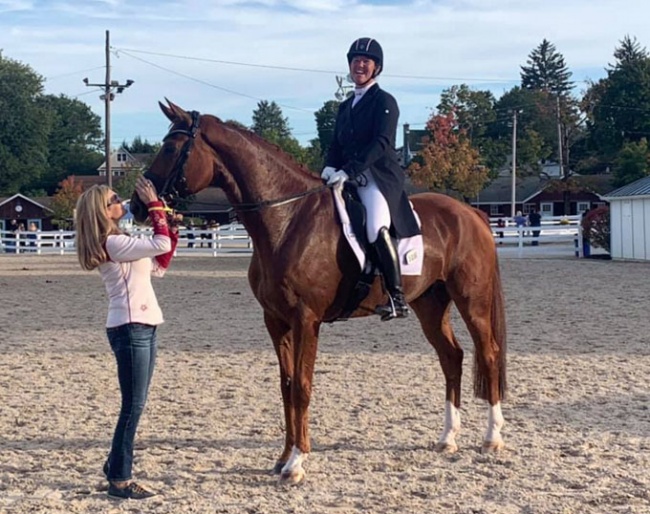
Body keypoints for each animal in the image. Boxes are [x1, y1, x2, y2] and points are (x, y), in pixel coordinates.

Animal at [130, 100, 506, 484]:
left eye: (171, 148)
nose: (137, 205)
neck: (287, 218)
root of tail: (471, 213)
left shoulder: (305, 320)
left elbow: (302, 386)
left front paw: (297, 463)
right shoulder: (276, 321)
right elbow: (286, 386)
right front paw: (282, 458)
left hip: (472, 301)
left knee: (488, 353)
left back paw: (492, 438)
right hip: (429, 304)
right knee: (451, 357)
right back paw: (448, 439)